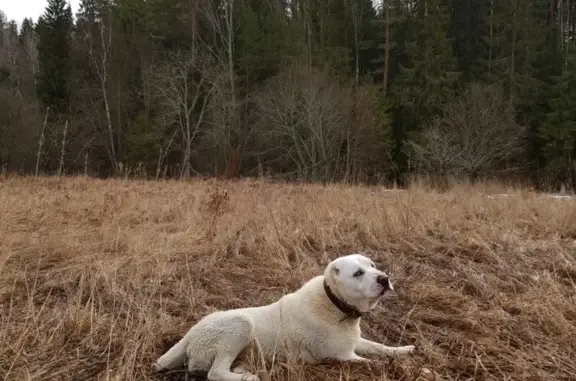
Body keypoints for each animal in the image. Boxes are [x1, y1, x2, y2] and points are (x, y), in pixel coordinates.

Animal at [153, 252, 414, 380]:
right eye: (358, 273)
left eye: (372, 265)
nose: (384, 278)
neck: (334, 303)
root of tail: (190, 333)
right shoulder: (342, 356)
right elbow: (374, 362)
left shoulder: (354, 342)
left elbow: (380, 348)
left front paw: (404, 350)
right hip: (240, 325)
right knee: (214, 373)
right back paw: (248, 378)